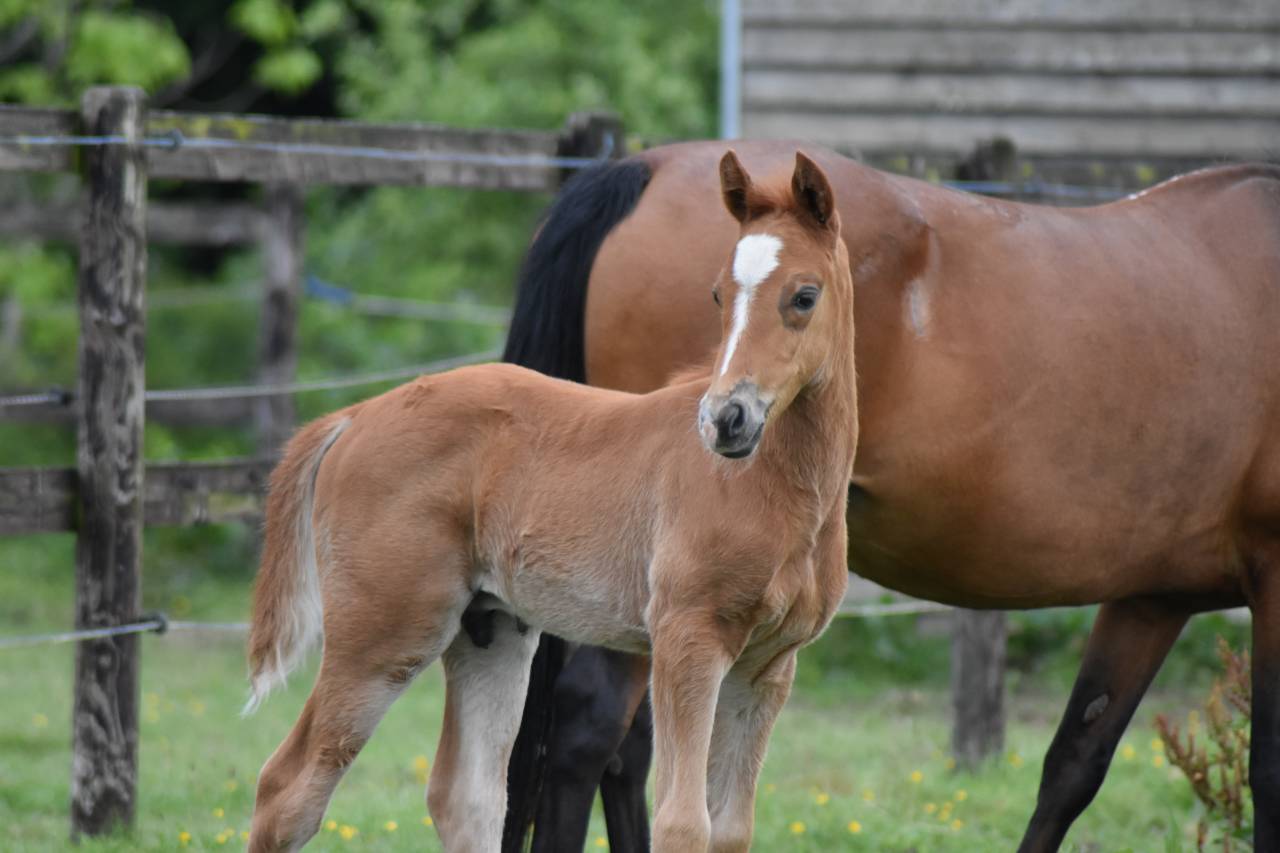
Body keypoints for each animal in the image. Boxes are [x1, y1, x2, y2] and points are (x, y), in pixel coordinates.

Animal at [244, 151, 859, 853]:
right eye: (717, 296)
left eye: (804, 296)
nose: (725, 419)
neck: (776, 488)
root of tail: (355, 416)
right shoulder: (687, 640)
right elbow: (682, 822)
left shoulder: (767, 668)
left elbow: (729, 829)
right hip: (384, 631)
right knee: (288, 788)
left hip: (490, 632)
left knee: (468, 796)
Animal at [501, 140, 1280, 852]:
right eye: (718, 296)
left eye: (803, 296)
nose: (723, 419)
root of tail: (645, 165)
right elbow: (1262, 770)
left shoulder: (1151, 598)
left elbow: (1072, 765)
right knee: (588, 731)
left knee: (624, 751)